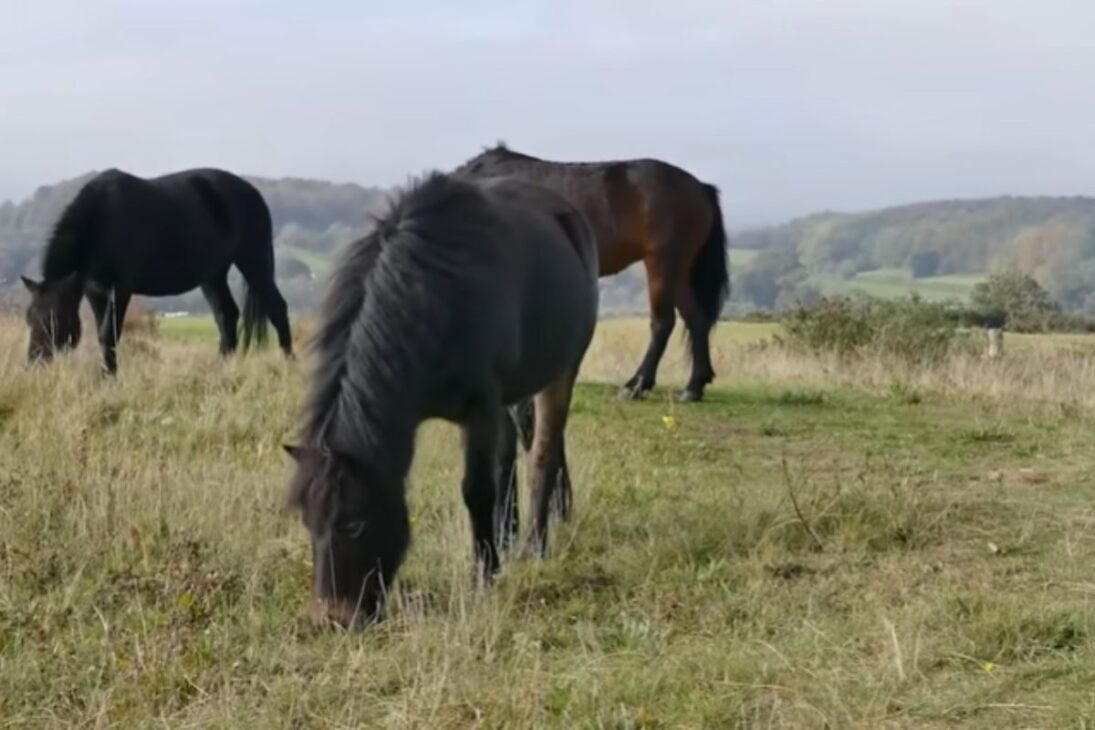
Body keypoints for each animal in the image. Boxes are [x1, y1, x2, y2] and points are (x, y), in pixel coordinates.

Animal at [21, 167, 294, 373]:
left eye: (54, 318)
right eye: (29, 317)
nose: (34, 362)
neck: (101, 220)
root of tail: (253, 194)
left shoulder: (120, 288)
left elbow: (110, 333)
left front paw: (108, 378)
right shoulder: (94, 290)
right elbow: (101, 334)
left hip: (253, 260)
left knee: (277, 308)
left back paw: (288, 363)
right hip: (213, 274)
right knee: (226, 315)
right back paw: (221, 367)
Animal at [284, 171, 599, 628]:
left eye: (355, 524)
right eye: (308, 523)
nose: (332, 619)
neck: (435, 299)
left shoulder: (480, 406)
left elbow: (477, 490)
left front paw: (485, 577)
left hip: (559, 374)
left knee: (543, 452)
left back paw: (533, 546)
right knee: (514, 455)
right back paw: (509, 535)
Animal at [455, 143, 730, 402]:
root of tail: (700, 188)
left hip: (663, 264)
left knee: (663, 323)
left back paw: (637, 385)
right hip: (680, 271)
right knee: (696, 320)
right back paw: (694, 386)